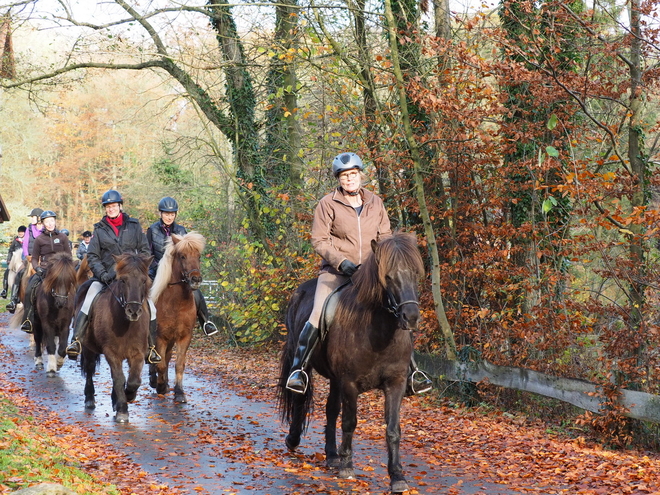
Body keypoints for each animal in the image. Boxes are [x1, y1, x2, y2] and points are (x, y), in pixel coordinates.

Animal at [78, 256, 153, 422]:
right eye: (123, 280)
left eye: (144, 280)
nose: (134, 311)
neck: (126, 324)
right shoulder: (111, 353)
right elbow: (119, 379)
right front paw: (123, 410)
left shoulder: (138, 353)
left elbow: (133, 380)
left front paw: (129, 396)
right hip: (88, 348)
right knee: (90, 369)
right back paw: (90, 399)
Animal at [148, 232, 205, 404]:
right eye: (182, 256)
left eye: (198, 256)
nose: (195, 279)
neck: (176, 303)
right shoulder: (160, 336)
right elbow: (160, 364)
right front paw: (160, 386)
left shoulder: (184, 336)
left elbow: (179, 364)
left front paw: (179, 392)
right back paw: (155, 381)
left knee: (167, 358)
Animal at [278, 231, 422, 494]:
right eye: (387, 276)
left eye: (415, 273)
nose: (411, 317)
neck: (377, 333)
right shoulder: (350, 383)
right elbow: (349, 422)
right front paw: (347, 467)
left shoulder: (395, 383)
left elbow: (393, 429)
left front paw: (397, 476)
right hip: (305, 362)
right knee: (300, 397)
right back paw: (294, 441)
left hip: (335, 379)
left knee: (330, 410)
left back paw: (332, 455)